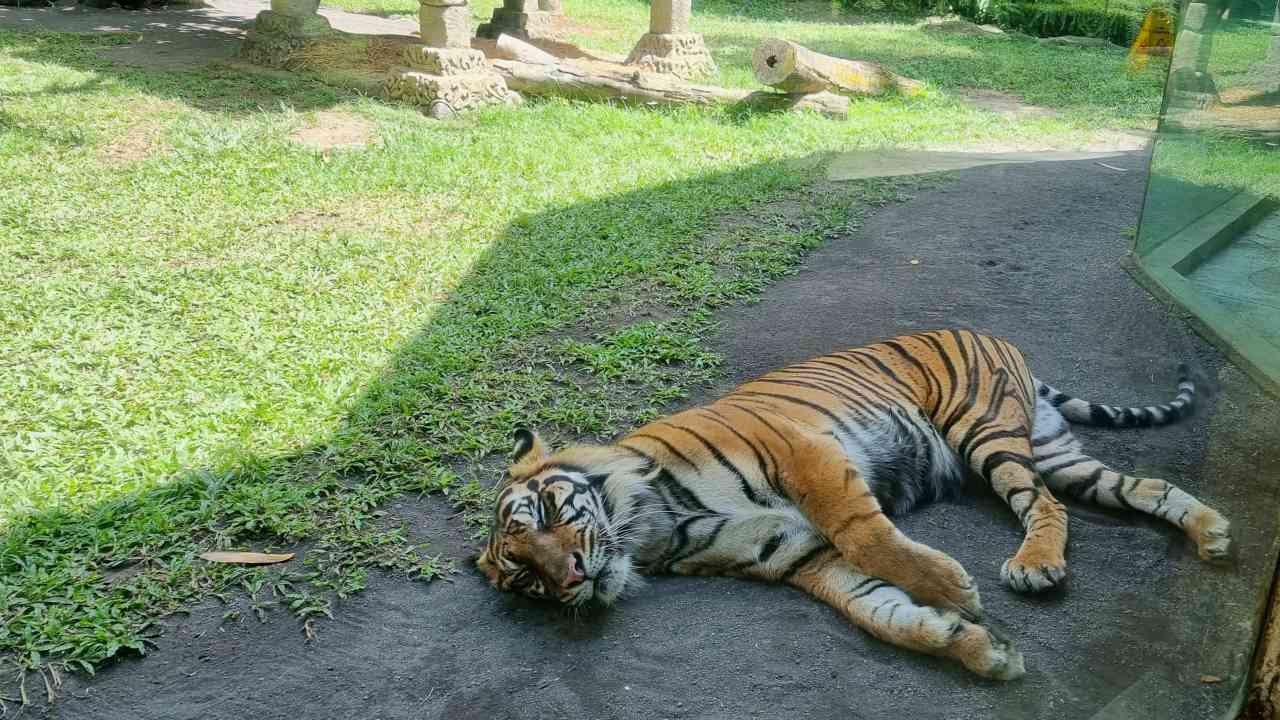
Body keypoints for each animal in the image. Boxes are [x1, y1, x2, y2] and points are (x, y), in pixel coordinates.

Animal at [478, 327, 1228, 676]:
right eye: (526, 577)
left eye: (548, 515)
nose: (571, 578)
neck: (650, 529)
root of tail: (1000, 339)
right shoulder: (794, 552)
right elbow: (880, 612)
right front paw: (975, 648)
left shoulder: (802, 452)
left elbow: (867, 534)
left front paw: (953, 590)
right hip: (1054, 452)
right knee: (1134, 488)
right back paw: (1213, 533)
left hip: (985, 433)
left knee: (1046, 505)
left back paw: (1034, 565)